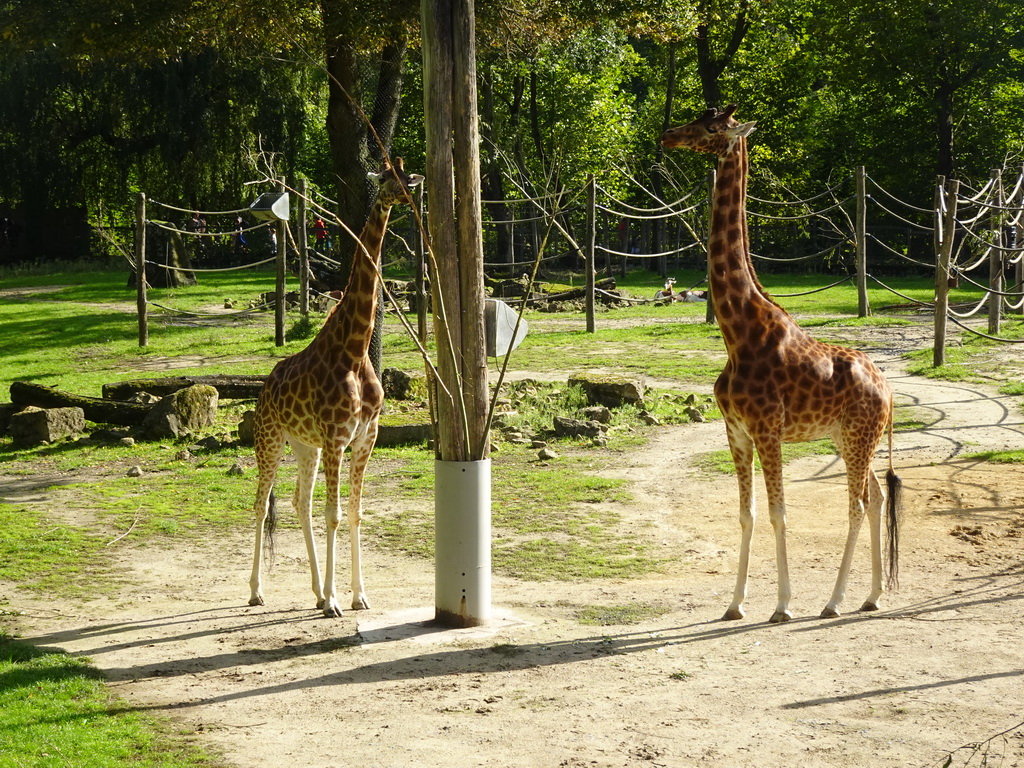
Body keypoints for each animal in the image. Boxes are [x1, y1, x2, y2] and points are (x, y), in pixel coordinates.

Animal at [248, 156, 423, 618]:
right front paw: (334, 602)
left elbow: (355, 513)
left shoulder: (364, 438)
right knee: (261, 505)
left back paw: (313, 590)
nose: (410, 194)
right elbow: (334, 514)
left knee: (298, 502)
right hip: (269, 439)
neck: (355, 349)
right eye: (387, 178)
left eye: (407, 174)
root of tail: (264, 388)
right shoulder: (337, 438)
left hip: (303, 445)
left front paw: (357, 595)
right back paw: (256, 591)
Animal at [659, 107, 901, 626]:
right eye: (700, 116)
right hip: (850, 439)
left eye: (713, 126)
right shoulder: (735, 431)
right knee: (876, 497)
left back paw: (833, 601)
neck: (738, 332)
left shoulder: (767, 429)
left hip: (858, 438)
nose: (668, 135)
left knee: (856, 505)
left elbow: (778, 513)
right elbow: (746, 513)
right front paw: (734, 604)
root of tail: (888, 390)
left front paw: (783, 605)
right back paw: (871, 597)